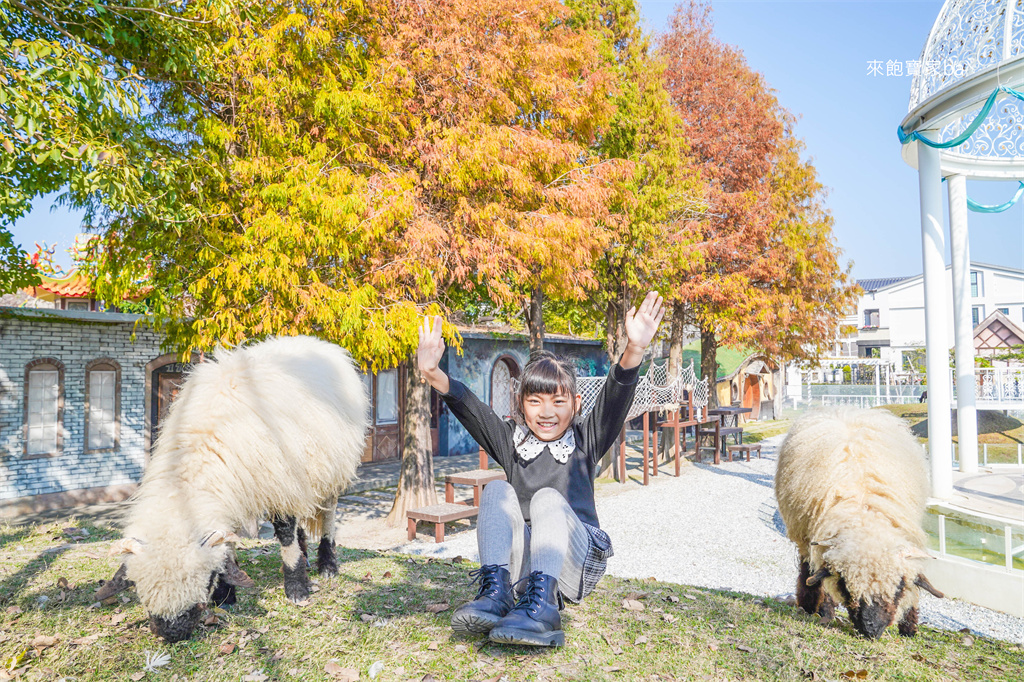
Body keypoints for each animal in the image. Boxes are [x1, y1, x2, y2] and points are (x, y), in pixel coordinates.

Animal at [96, 333, 368, 638]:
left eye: (204, 580)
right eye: (141, 591)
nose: (173, 634)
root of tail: (317, 342)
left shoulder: (279, 483)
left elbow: (285, 533)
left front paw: (297, 589)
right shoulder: (240, 491)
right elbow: (228, 542)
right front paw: (226, 595)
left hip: (334, 468)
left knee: (329, 513)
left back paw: (327, 564)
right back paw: (306, 558)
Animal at [774, 403, 942, 638]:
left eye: (898, 587)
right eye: (845, 585)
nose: (871, 630)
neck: (865, 515)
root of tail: (843, 409)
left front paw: (909, 627)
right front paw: (825, 613)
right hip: (803, 536)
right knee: (807, 568)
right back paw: (808, 605)